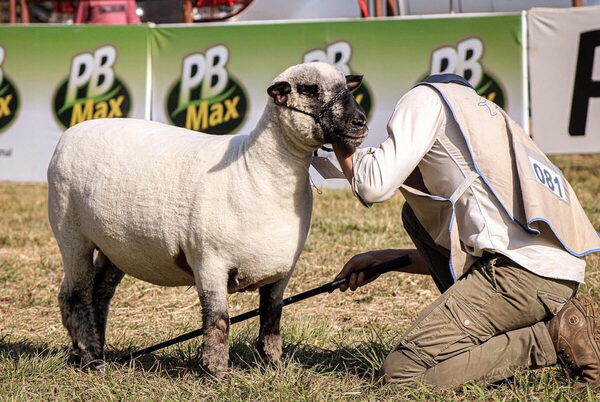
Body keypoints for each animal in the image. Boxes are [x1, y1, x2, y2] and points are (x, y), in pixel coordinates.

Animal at [47, 61, 368, 376]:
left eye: (347, 86)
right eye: (308, 89)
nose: (360, 122)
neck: (255, 169)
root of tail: (70, 133)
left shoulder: (282, 269)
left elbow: (272, 318)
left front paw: (273, 366)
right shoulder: (209, 262)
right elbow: (218, 320)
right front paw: (216, 372)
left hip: (115, 246)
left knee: (98, 293)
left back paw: (93, 351)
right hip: (71, 234)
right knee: (76, 295)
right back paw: (91, 358)